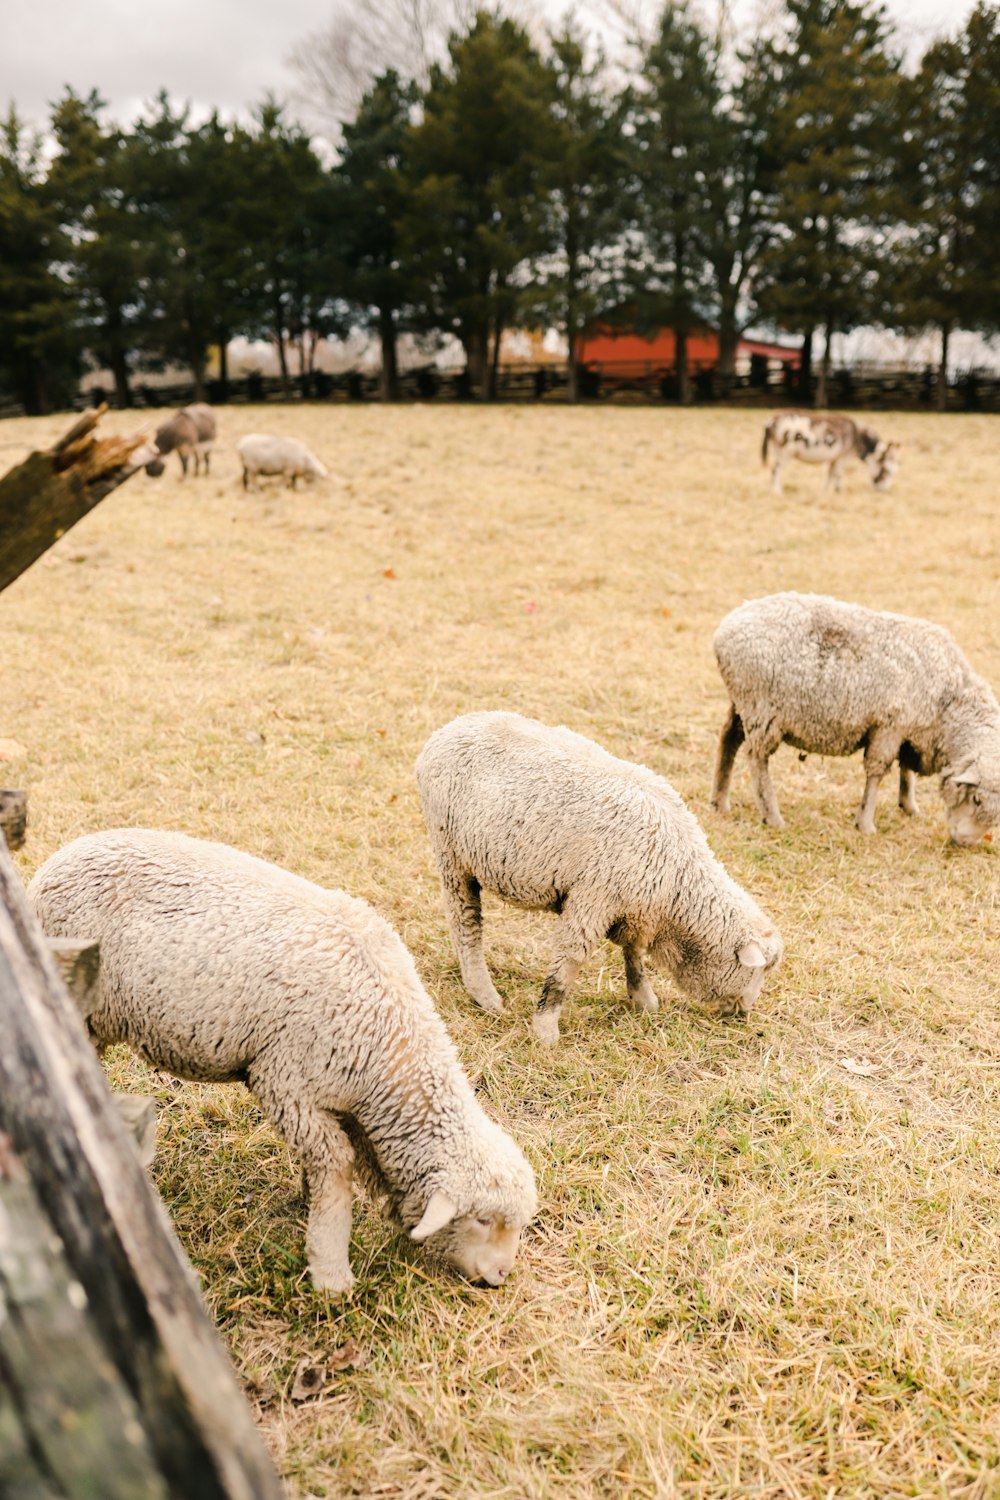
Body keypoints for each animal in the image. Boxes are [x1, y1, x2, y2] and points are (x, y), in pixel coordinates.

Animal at [27, 828, 539, 1296]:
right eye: (482, 1219)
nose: (500, 1276)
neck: (389, 1045)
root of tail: (55, 862)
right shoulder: (286, 1084)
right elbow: (337, 1166)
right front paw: (331, 1273)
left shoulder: (340, 1102)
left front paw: (309, 1204)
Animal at [413, 711, 779, 1044]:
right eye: (760, 969)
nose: (745, 1013)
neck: (678, 884)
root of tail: (448, 729)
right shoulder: (593, 899)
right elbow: (568, 966)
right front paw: (545, 1031)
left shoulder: (634, 908)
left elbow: (634, 954)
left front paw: (643, 1000)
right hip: (451, 853)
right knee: (465, 923)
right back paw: (484, 995)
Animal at [710, 591, 1000, 846]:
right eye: (976, 799)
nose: (965, 843)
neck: (949, 704)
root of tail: (724, 629)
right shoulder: (890, 726)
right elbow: (877, 771)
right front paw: (866, 824)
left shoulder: (909, 731)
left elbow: (906, 770)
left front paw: (909, 807)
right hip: (761, 709)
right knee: (757, 758)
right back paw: (772, 816)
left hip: (742, 703)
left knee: (728, 739)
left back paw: (719, 801)